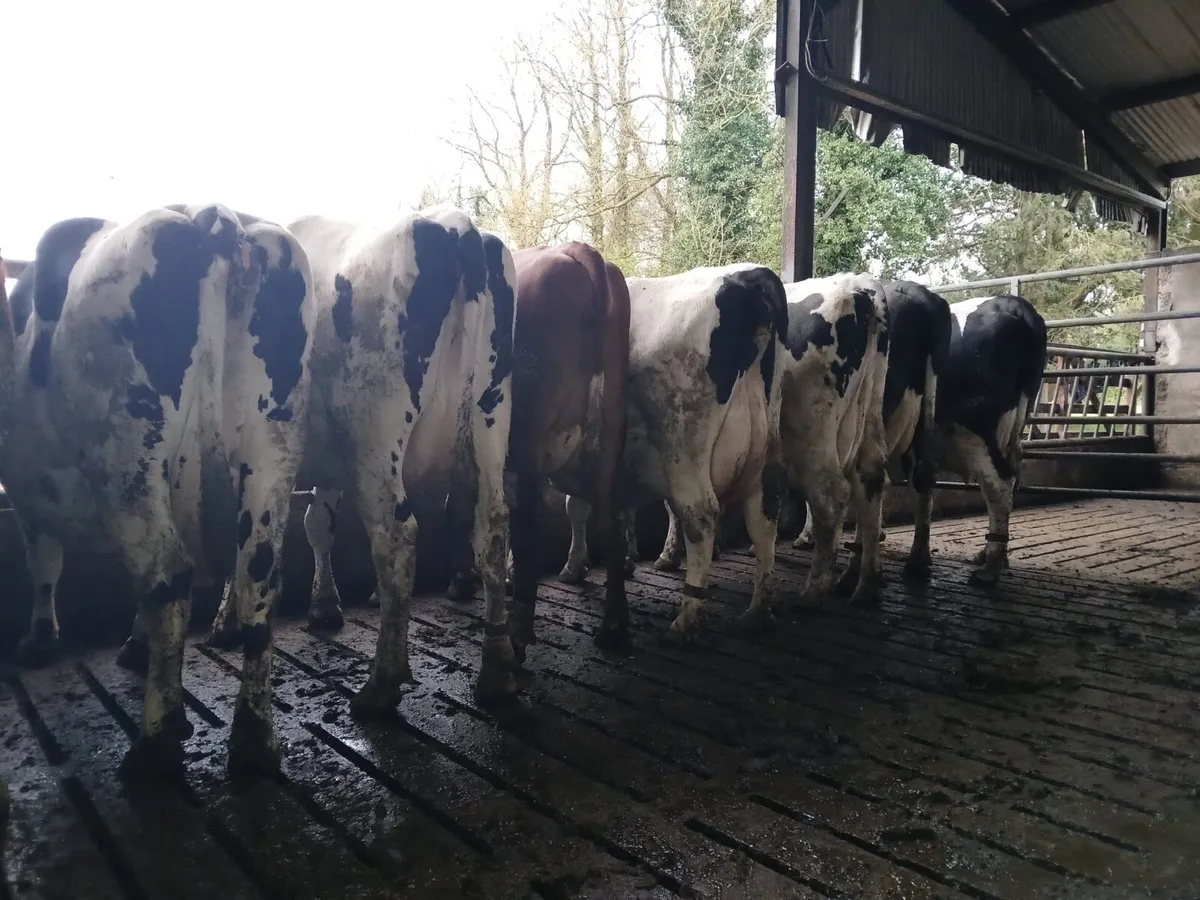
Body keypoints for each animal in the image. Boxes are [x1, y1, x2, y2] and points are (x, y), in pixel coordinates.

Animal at [2, 205, 315, 778]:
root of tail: (211, 217)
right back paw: (254, 740)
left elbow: (45, 564)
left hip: (128, 456)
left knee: (168, 574)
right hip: (271, 446)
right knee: (256, 576)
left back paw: (156, 741)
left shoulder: (28, 492)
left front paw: (40, 639)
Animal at [219, 208, 520, 712]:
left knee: (396, 537)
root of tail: (457, 224)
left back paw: (382, 682)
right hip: (490, 416)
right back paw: (496, 671)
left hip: (376, 433)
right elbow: (317, 524)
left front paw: (222, 620)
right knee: (493, 528)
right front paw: (324, 605)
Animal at [445, 242, 632, 658]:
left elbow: (460, 506)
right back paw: (613, 628)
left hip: (527, 434)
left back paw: (519, 632)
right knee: (611, 519)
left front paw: (461, 580)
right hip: (610, 435)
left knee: (530, 523)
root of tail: (580, 251)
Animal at [573, 264, 788, 644]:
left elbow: (576, 506)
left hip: (685, 446)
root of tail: (745, 280)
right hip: (763, 450)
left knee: (701, 515)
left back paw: (686, 619)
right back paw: (758, 611)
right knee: (763, 518)